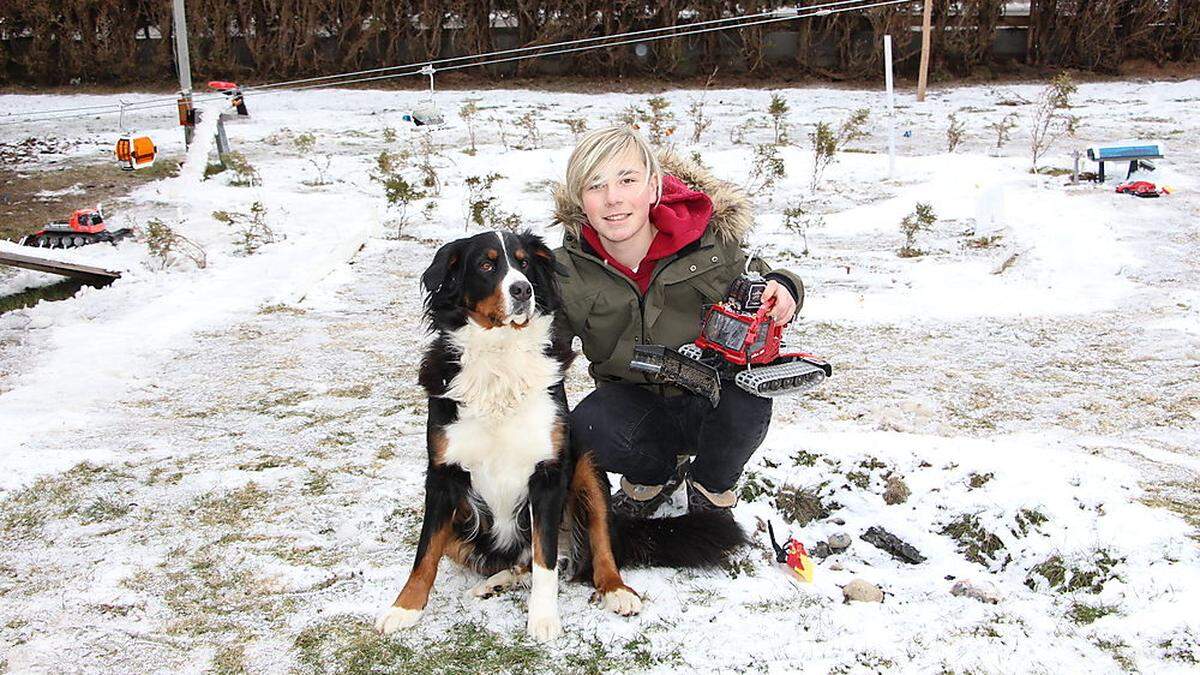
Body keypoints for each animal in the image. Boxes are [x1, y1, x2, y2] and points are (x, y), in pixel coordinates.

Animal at [374, 228, 744, 638]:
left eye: (524, 264)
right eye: (486, 265)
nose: (522, 290)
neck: (501, 357)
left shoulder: (548, 473)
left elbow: (546, 558)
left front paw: (543, 618)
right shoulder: (442, 474)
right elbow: (425, 551)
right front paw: (404, 607)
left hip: (587, 470)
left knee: (594, 551)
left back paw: (616, 591)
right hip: (463, 522)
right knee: (513, 559)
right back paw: (497, 581)